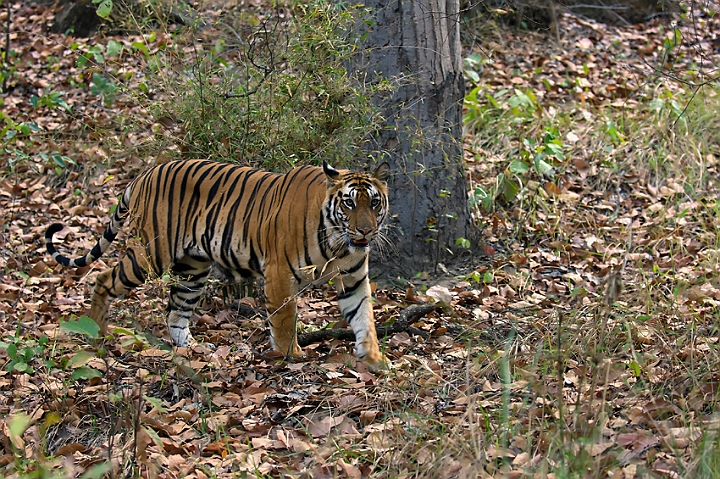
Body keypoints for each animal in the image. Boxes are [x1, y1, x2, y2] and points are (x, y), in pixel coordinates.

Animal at [43, 159, 394, 370]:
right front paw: (290, 356)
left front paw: (374, 358)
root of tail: (146, 173)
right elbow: (284, 320)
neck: (337, 241)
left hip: (192, 269)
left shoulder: (353, 278)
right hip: (150, 255)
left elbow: (364, 316)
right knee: (103, 278)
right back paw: (96, 332)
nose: (365, 231)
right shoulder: (279, 274)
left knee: (176, 313)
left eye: (374, 203)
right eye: (349, 203)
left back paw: (195, 350)